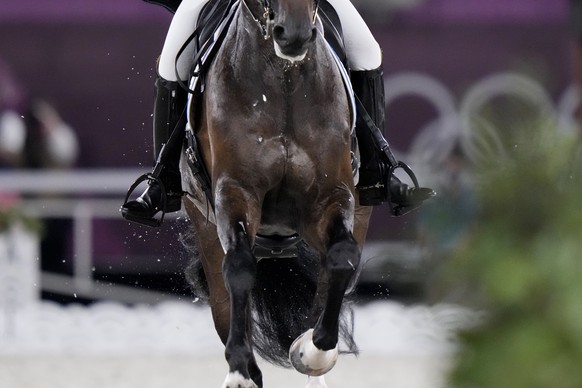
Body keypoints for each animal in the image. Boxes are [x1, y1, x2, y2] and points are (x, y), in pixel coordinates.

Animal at [182, 0, 372, 386]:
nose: (294, 34)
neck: (283, 81)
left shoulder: (330, 196)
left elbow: (342, 257)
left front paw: (313, 351)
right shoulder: (234, 192)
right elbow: (239, 267)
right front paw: (240, 370)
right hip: (205, 226)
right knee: (225, 301)